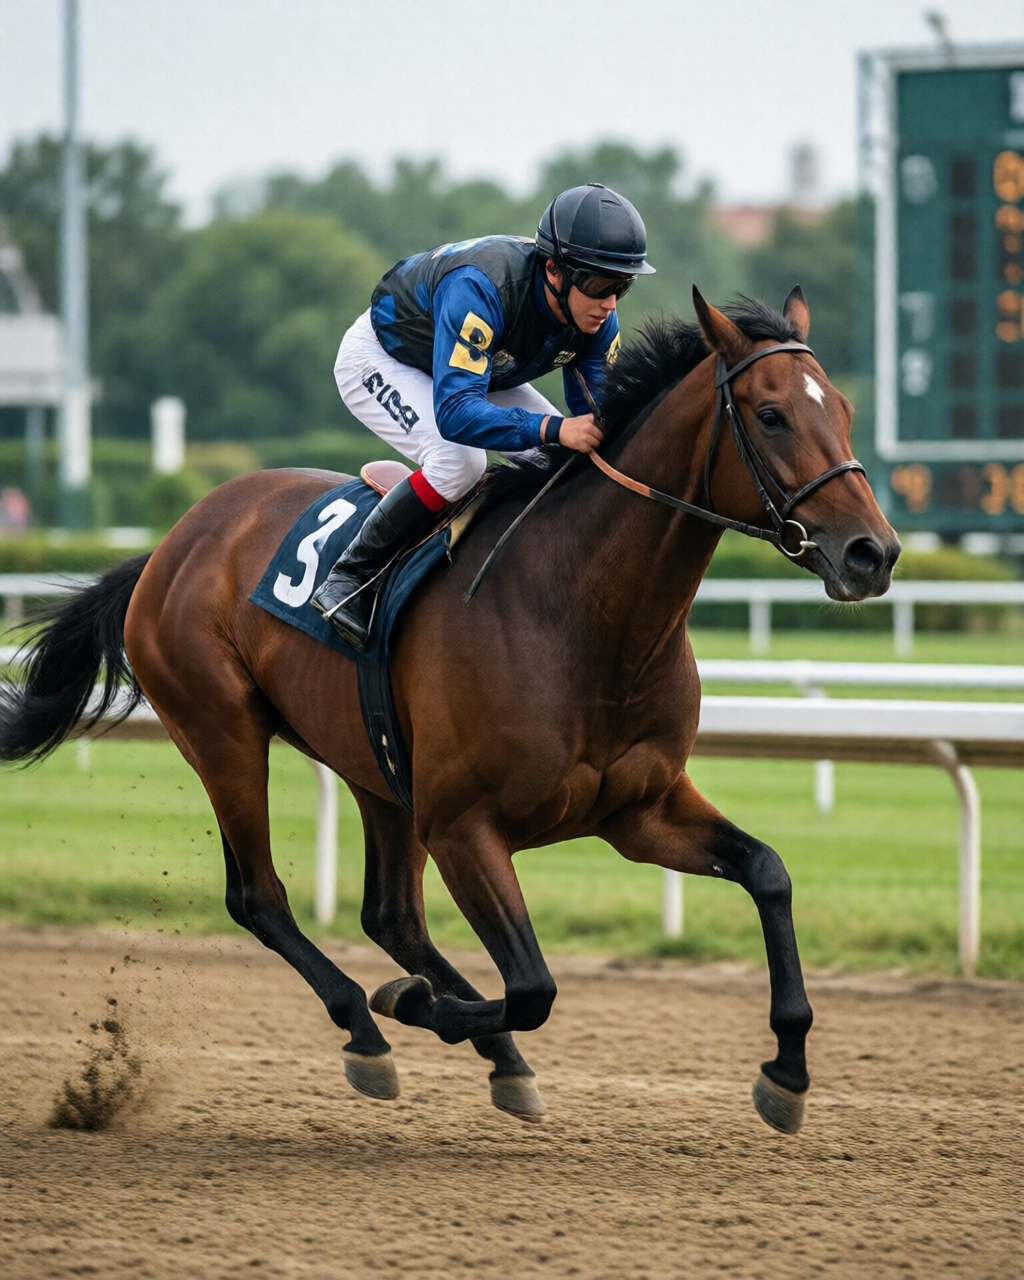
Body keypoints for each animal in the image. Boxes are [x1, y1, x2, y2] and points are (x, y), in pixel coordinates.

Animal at [0, 287, 900, 1135]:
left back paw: (485, 1051)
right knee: (260, 898)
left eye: (844, 408)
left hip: (375, 766)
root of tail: (169, 545)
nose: (874, 552)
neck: (582, 615)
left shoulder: (638, 810)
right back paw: (369, 1026)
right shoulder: (466, 825)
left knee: (390, 914)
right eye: (772, 414)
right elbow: (534, 984)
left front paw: (787, 1070)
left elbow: (768, 873)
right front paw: (414, 1005)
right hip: (223, 732)